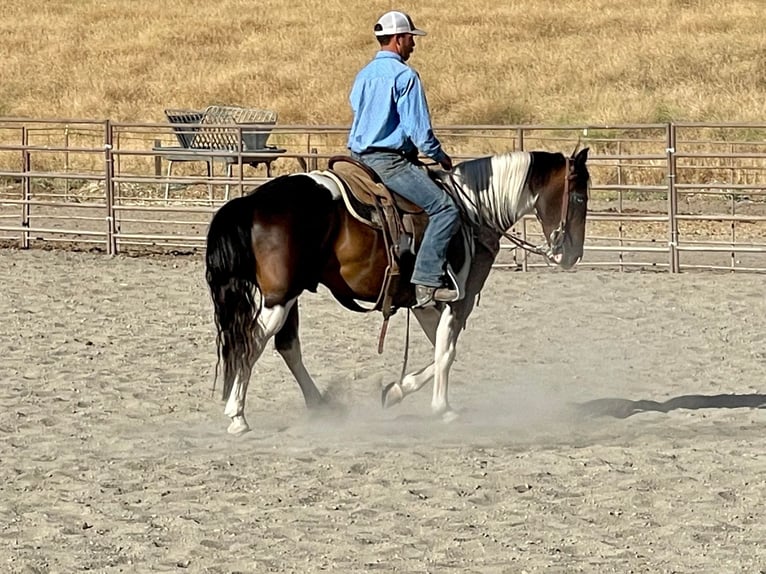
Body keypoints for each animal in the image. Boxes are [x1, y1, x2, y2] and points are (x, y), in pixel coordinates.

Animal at [206, 148, 592, 436]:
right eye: (578, 196)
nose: (572, 255)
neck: (473, 209)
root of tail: (251, 203)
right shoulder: (459, 298)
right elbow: (447, 352)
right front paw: (443, 409)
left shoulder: (424, 302)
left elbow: (439, 349)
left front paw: (394, 391)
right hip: (280, 298)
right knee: (252, 342)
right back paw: (237, 416)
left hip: (289, 295)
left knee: (286, 346)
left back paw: (320, 405)